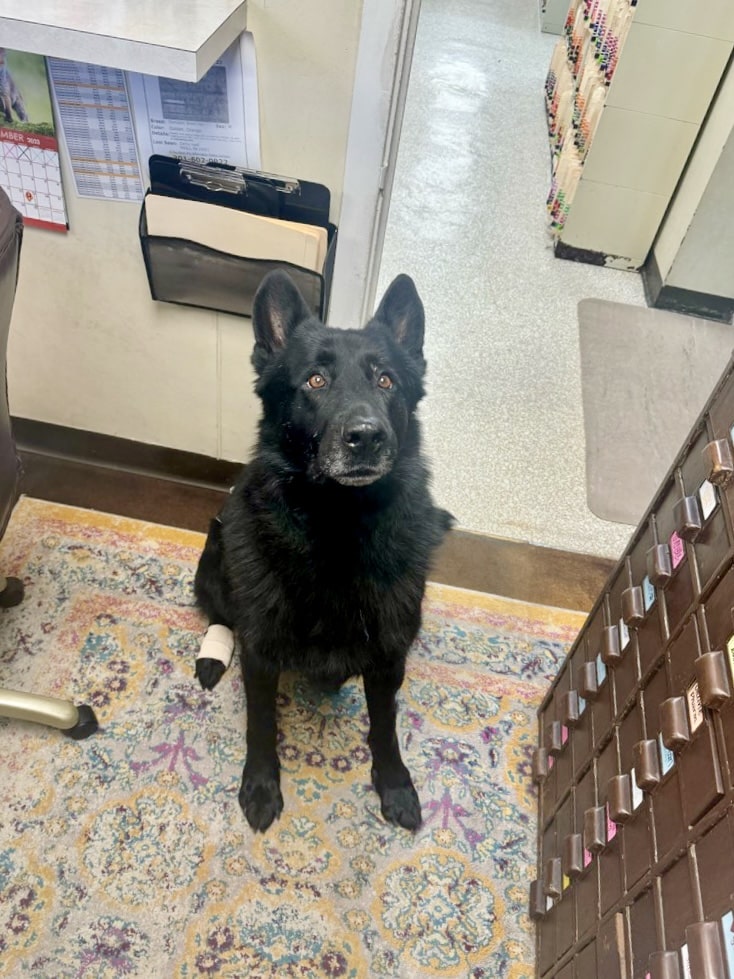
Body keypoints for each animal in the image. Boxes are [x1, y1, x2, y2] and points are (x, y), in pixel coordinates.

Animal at [193, 270, 452, 836]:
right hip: (218, 555)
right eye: (315, 381)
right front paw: (261, 786)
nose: (367, 437)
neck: (338, 527)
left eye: (386, 381)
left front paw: (394, 784)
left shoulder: (387, 660)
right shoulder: (261, 655)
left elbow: (385, 726)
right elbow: (261, 725)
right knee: (221, 612)